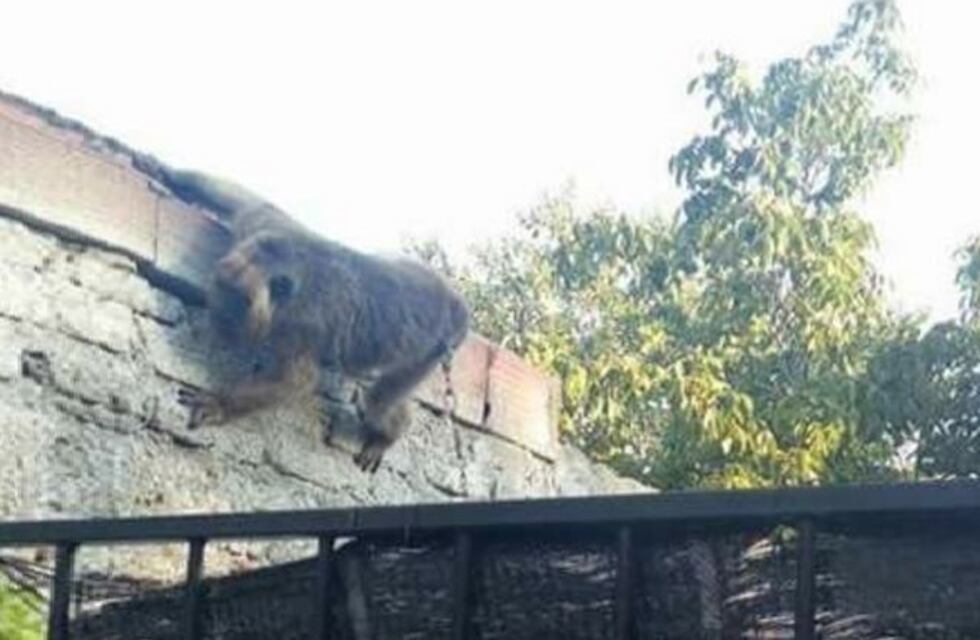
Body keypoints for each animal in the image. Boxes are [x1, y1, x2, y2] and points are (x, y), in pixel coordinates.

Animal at [152, 166, 470, 473]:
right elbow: (250, 201)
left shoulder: (300, 323)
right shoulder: (262, 229)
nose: (222, 318)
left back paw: (388, 435)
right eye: (222, 289)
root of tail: (456, 306)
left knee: (378, 402)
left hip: (432, 351)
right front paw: (162, 169)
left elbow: (296, 380)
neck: (289, 272)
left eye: (240, 302)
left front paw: (219, 404)